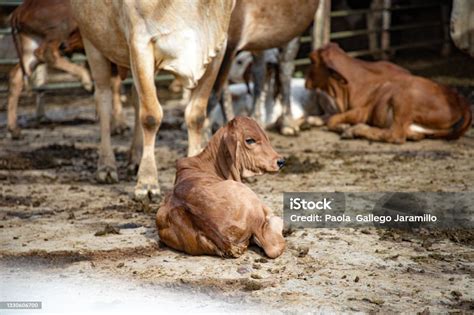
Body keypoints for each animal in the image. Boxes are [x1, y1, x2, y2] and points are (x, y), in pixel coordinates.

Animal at [306, 42, 472, 144]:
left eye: (312, 60)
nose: (306, 81)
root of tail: (460, 99)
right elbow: (320, 118)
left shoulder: (362, 111)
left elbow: (332, 120)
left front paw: (344, 127)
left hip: (402, 98)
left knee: (395, 135)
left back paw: (355, 130)